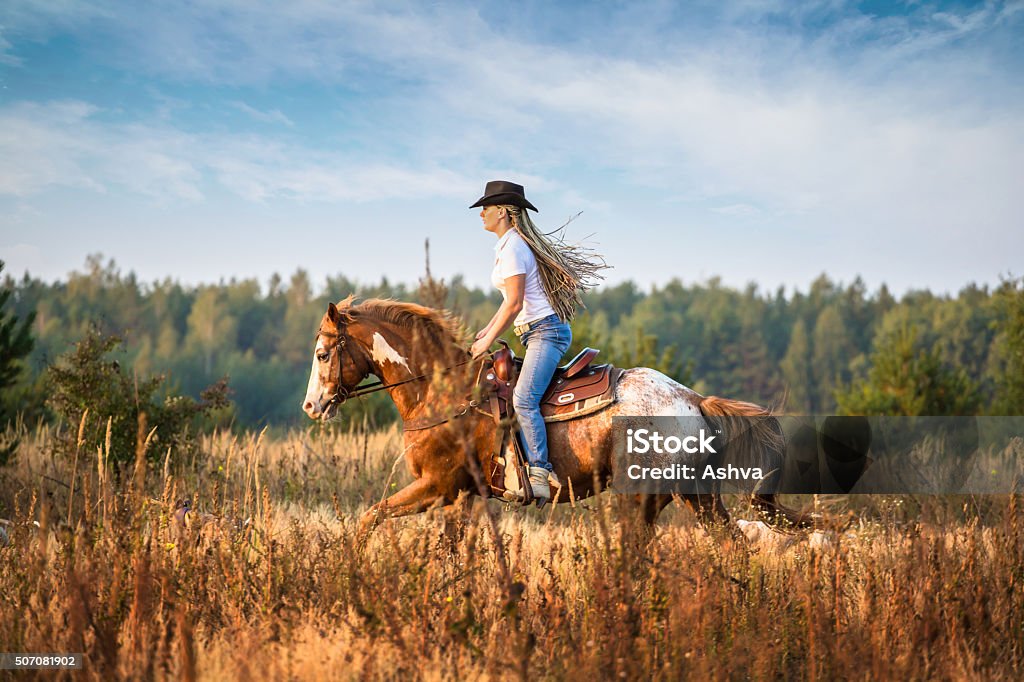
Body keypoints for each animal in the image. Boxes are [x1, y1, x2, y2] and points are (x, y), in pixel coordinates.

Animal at [303, 296, 806, 536]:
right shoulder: (462, 495)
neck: (443, 392)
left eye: (323, 353)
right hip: (695, 497)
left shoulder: (437, 485)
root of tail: (693, 400)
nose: (312, 406)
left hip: (642, 500)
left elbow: (370, 517)